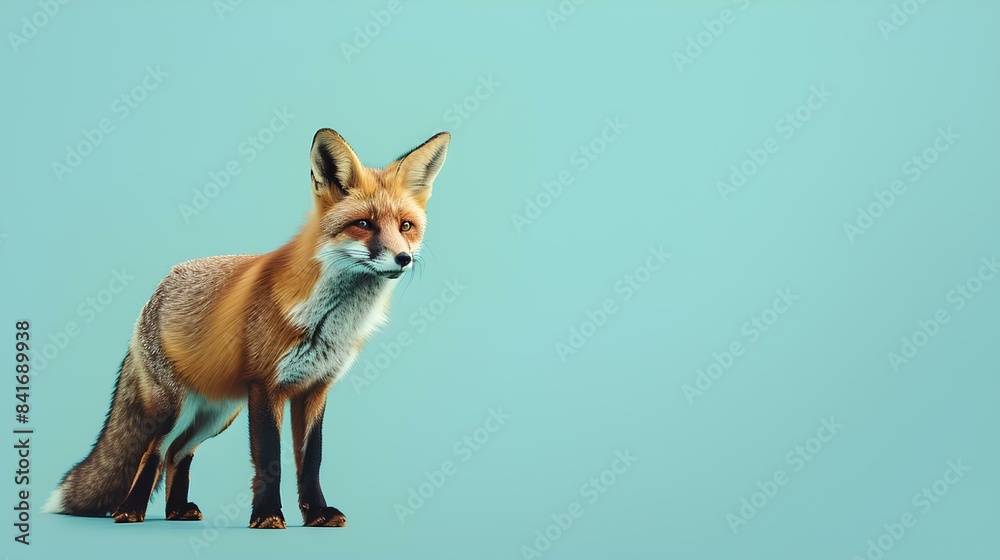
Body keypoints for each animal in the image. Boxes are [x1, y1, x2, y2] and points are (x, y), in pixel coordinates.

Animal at [44, 128, 450, 528]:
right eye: (364, 224)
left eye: (406, 226)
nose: (403, 258)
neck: (328, 322)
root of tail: (158, 290)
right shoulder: (266, 386)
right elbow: (270, 460)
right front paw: (268, 515)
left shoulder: (314, 389)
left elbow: (311, 461)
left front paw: (317, 514)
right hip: (177, 410)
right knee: (153, 452)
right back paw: (131, 510)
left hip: (216, 415)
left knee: (178, 454)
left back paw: (176, 511)